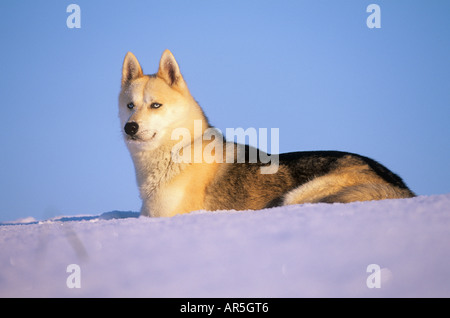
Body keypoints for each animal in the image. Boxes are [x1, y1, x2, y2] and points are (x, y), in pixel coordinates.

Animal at [118, 49, 414, 217]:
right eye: (130, 106)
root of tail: (402, 188)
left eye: (156, 105)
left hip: (297, 195)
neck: (177, 153)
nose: (130, 127)